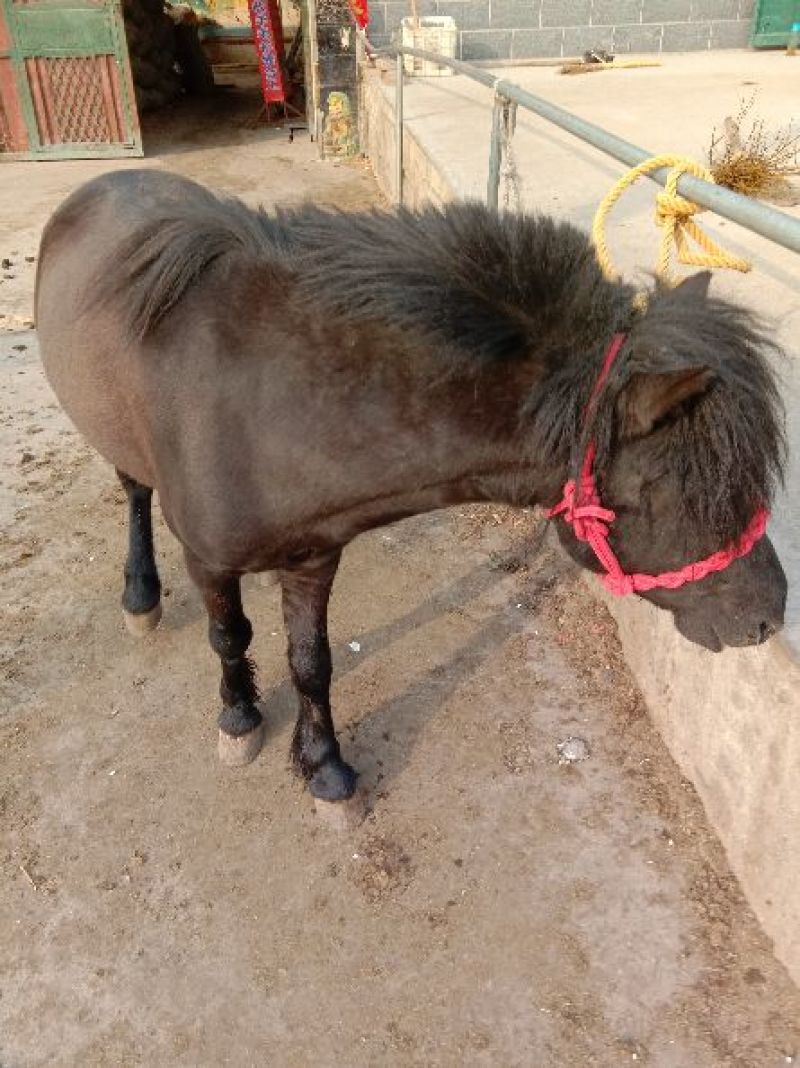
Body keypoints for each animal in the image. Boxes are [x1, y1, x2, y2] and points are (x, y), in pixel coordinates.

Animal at [35, 169, 786, 820]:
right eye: (674, 486)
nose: (769, 617)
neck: (261, 402)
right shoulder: (209, 559)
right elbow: (229, 636)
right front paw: (240, 718)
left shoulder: (313, 558)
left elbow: (311, 664)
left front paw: (326, 769)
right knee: (133, 494)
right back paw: (140, 595)